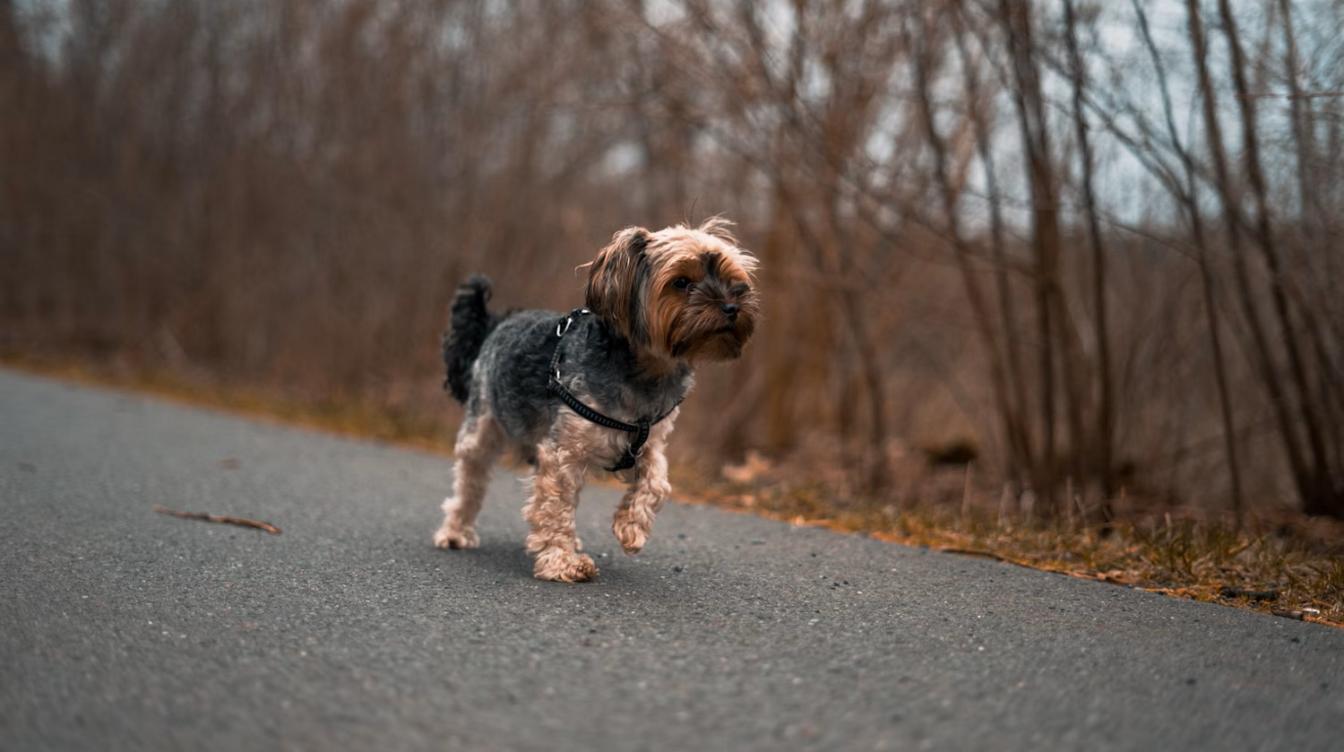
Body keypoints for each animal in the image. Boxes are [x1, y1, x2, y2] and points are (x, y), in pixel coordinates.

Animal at [435, 217, 763, 582]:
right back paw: (456, 532)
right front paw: (562, 560)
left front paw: (630, 527)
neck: (645, 371)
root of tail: (500, 321)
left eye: (732, 278)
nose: (732, 307)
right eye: (681, 282)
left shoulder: (648, 444)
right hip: (482, 423)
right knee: (470, 480)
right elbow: (554, 504)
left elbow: (657, 482)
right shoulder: (563, 452)